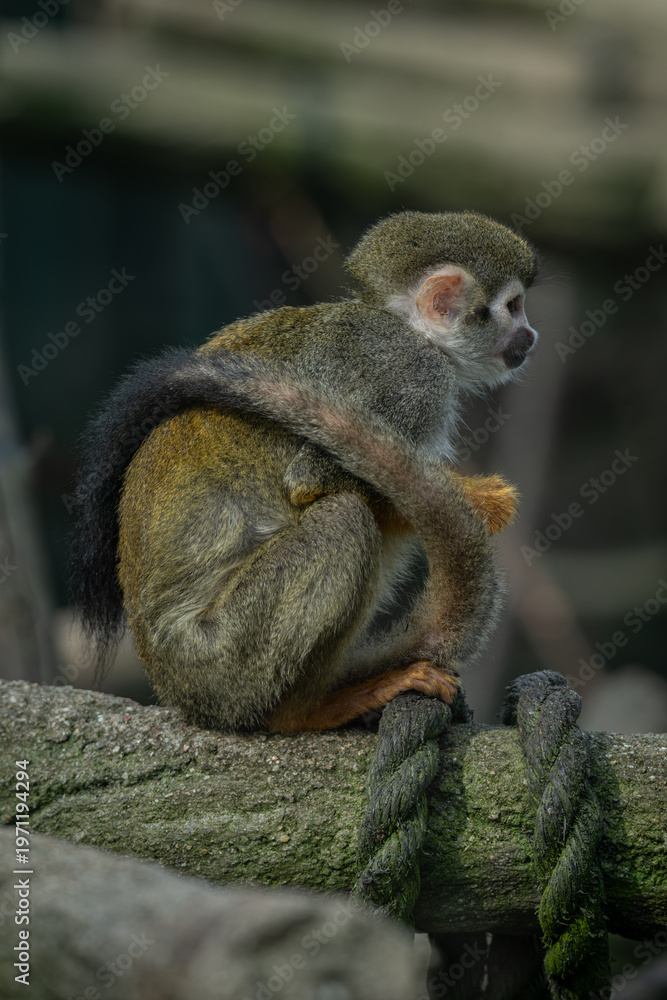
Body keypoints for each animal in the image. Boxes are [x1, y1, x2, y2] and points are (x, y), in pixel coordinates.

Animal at [71, 210, 538, 733]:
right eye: (514, 306)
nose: (530, 335)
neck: (405, 327)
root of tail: (179, 693)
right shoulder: (412, 379)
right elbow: (310, 479)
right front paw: (478, 498)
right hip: (222, 660)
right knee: (344, 521)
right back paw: (307, 709)